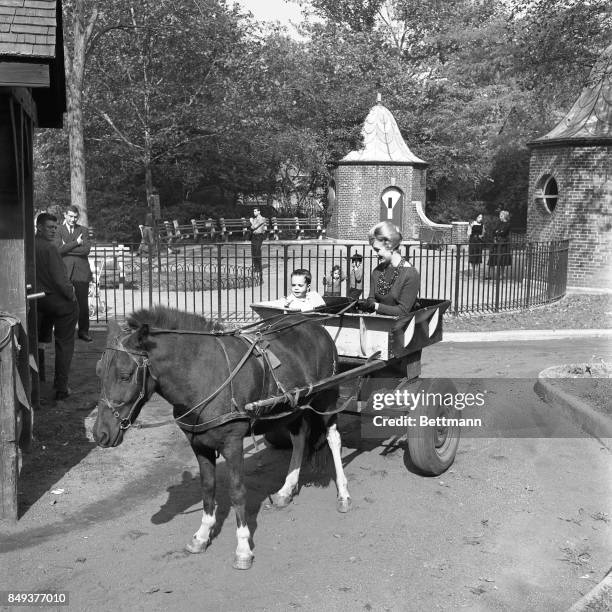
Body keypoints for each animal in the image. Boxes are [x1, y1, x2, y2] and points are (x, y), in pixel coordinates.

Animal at [91, 308, 350, 572]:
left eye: (125, 375)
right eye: (99, 371)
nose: (100, 433)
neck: (203, 375)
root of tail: (314, 324)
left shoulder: (233, 443)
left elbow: (237, 492)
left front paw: (243, 548)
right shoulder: (199, 445)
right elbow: (207, 488)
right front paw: (202, 535)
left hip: (327, 397)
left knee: (333, 438)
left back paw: (343, 493)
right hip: (293, 406)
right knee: (299, 438)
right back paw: (286, 490)